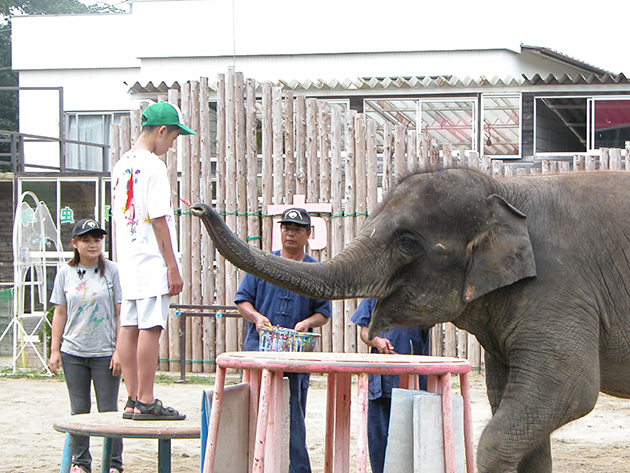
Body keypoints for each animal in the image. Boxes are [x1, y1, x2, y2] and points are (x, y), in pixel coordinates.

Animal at [193, 169, 630, 472]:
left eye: (406, 242)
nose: (200, 206)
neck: (504, 189)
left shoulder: (559, 290)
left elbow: (567, 390)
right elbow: (515, 401)